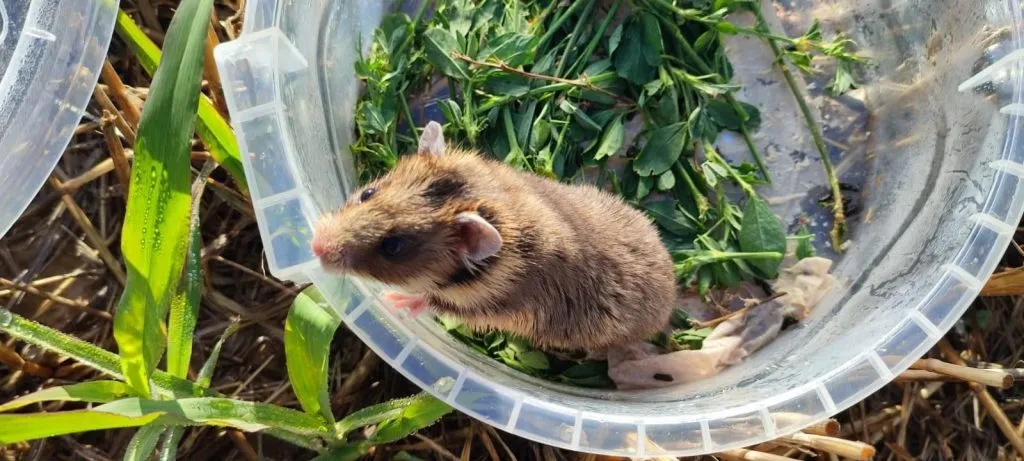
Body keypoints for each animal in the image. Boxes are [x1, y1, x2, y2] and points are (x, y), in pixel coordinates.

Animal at [311, 121, 677, 352]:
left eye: (393, 246)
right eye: (367, 193)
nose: (315, 245)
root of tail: (672, 287)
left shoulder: (480, 306)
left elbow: (430, 301)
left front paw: (394, 301)